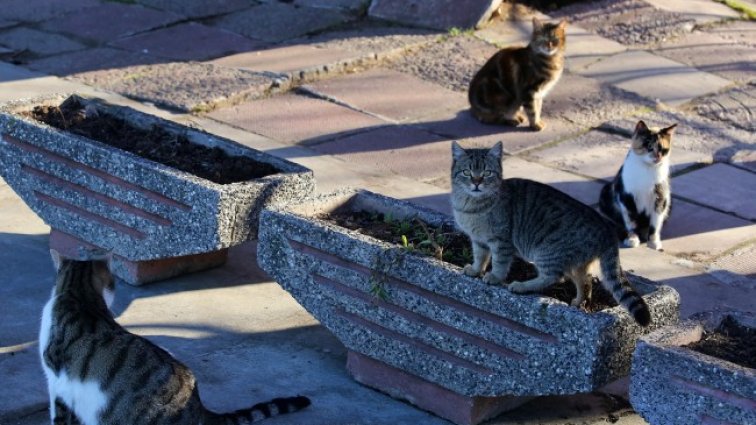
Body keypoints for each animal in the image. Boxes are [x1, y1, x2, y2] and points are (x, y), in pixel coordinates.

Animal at [452, 141, 652, 326]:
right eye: (466, 172)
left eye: (487, 173)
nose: (476, 182)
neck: (471, 206)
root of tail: (607, 228)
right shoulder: (478, 240)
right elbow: (480, 258)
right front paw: (476, 270)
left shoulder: (501, 241)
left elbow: (499, 263)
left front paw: (494, 277)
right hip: (576, 264)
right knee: (586, 281)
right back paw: (578, 302)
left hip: (547, 252)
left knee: (554, 277)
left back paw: (522, 286)